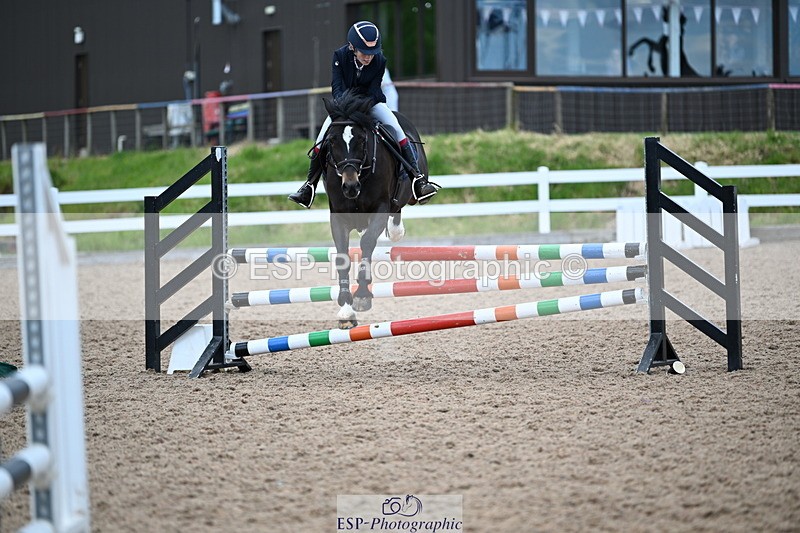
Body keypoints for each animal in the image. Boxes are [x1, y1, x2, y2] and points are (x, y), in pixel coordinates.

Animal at [319, 90, 428, 328]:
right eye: (331, 140)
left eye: (361, 139)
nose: (351, 187)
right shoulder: (338, 217)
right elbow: (343, 257)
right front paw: (346, 310)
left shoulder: (380, 208)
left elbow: (367, 243)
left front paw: (361, 296)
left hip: (410, 192)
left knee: (400, 205)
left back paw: (396, 231)